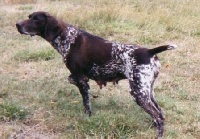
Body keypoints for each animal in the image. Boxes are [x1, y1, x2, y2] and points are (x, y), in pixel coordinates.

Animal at [16, 11, 177, 138]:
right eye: (29, 16)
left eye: (36, 19)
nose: (17, 24)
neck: (66, 37)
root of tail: (149, 52)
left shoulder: (81, 79)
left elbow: (86, 104)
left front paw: (87, 118)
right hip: (148, 91)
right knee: (161, 113)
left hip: (138, 93)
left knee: (159, 117)